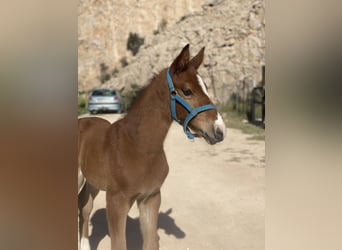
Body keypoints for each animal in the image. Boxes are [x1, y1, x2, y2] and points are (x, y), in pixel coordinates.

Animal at [78, 45, 226, 250]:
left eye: (205, 86)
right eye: (187, 91)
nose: (219, 130)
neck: (139, 146)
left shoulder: (151, 197)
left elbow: (150, 242)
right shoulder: (116, 202)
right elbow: (119, 244)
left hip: (93, 181)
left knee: (85, 206)